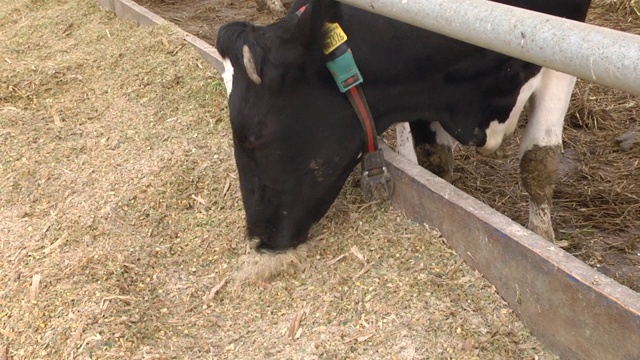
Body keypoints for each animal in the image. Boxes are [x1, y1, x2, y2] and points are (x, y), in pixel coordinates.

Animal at [218, 0, 592, 250]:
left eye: (253, 136)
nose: (258, 236)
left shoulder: (562, 46)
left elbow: (538, 163)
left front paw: (543, 239)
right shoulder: (423, 91)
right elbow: (436, 156)